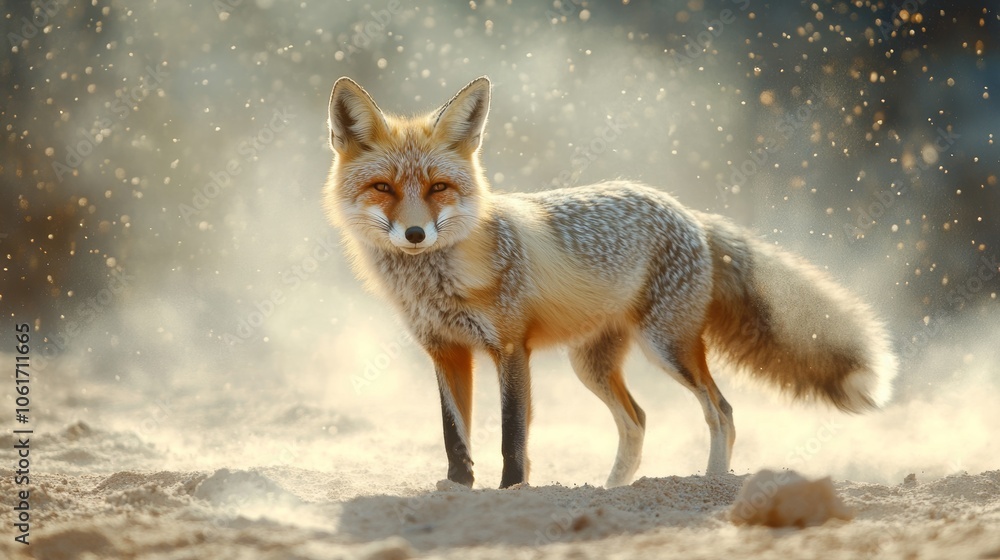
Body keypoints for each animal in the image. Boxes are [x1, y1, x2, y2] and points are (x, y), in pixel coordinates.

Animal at [323, 76, 898, 489]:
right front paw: (457, 489)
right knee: (637, 419)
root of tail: (687, 212)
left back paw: (712, 483)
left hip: (668, 347)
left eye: (439, 187)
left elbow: (513, 437)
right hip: (592, 364)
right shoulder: (445, 350)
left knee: (721, 410)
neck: (438, 281)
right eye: (383, 188)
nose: (415, 234)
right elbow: (454, 436)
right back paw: (613, 490)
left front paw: (512, 492)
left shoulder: (511, 348)